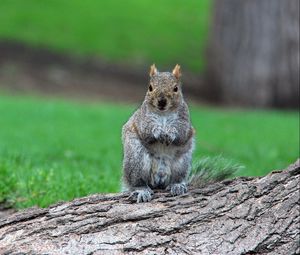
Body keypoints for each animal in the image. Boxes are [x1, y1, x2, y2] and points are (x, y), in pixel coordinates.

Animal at [121, 64, 195, 203]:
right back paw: (141, 190)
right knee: (138, 182)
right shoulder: (142, 119)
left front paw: (171, 133)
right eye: (150, 87)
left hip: (181, 163)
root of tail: (159, 177)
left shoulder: (184, 121)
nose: (161, 101)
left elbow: (181, 133)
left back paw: (177, 185)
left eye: (176, 88)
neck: (163, 113)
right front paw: (158, 132)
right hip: (136, 160)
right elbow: (146, 130)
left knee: (176, 178)